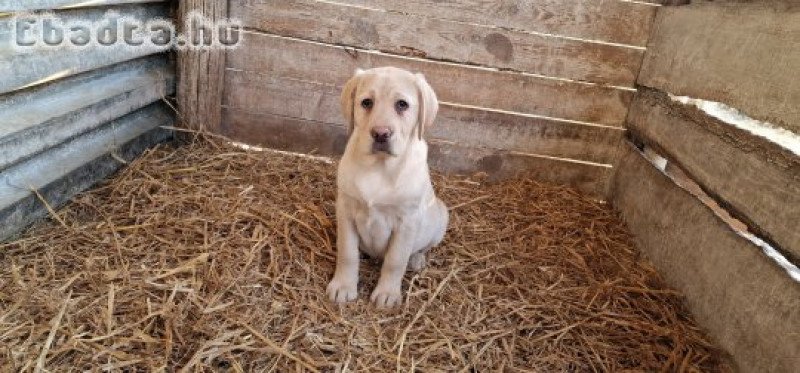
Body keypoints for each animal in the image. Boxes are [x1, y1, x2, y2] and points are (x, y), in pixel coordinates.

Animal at [326, 67, 450, 308]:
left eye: (402, 104)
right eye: (366, 102)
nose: (381, 133)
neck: (379, 167)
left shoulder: (407, 222)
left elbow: (395, 260)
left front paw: (387, 293)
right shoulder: (345, 209)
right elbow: (347, 252)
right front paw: (343, 286)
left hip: (441, 217)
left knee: (423, 247)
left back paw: (417, 259)